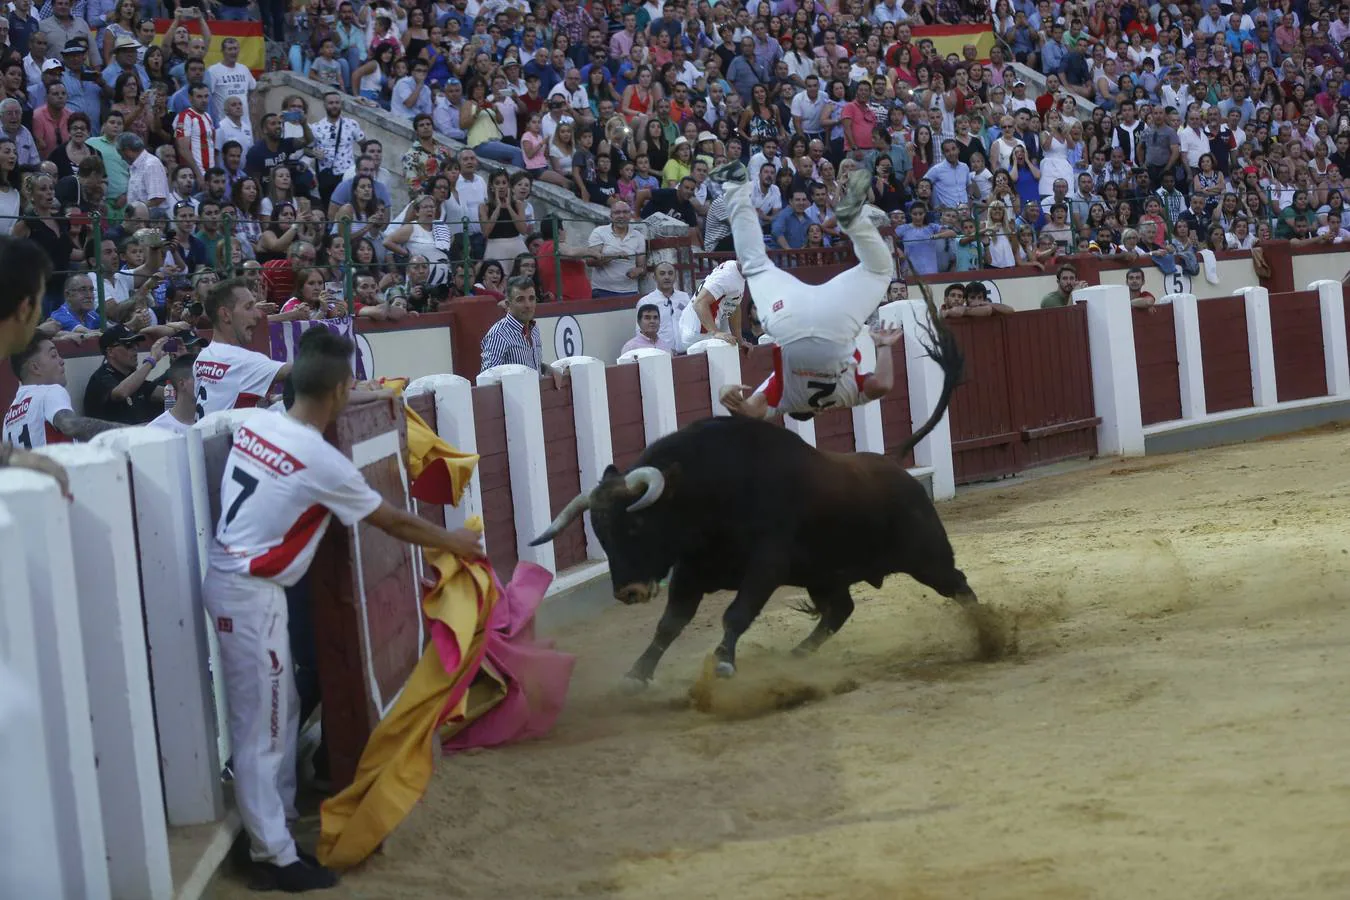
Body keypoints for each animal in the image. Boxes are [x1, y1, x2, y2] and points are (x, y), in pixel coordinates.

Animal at [523, 300, 972, 682]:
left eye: (636, 527)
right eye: (601, 534)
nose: (629, 592)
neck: (707, 495)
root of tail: (894, 463)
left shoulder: (766, 564)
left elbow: (736, 614)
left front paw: (723, 662)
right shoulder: (691, 570)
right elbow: (670, 623)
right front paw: (638, 673)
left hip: (926, 556)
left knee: (959, 585)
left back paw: (983, 633)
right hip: (825, 572)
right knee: (841, 608)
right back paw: (797, 656)